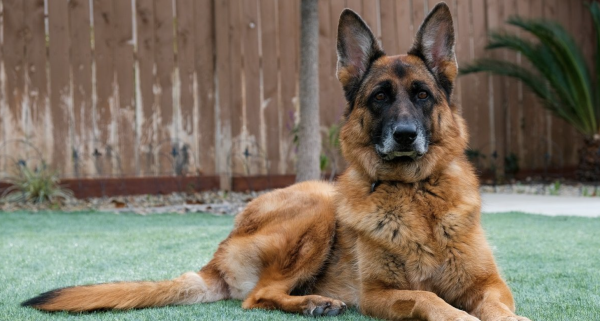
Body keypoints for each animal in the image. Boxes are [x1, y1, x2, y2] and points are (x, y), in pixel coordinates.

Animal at [22, 3, 528, 320]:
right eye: (381, 98)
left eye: (422, 96)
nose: (405, 135)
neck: (415, 194)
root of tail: (216, 257)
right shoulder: (380, 295)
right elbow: (431, 299)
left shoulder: (489, 284)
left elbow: (496, 306)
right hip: (318, 207)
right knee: (258, 296)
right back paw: (312, 303)